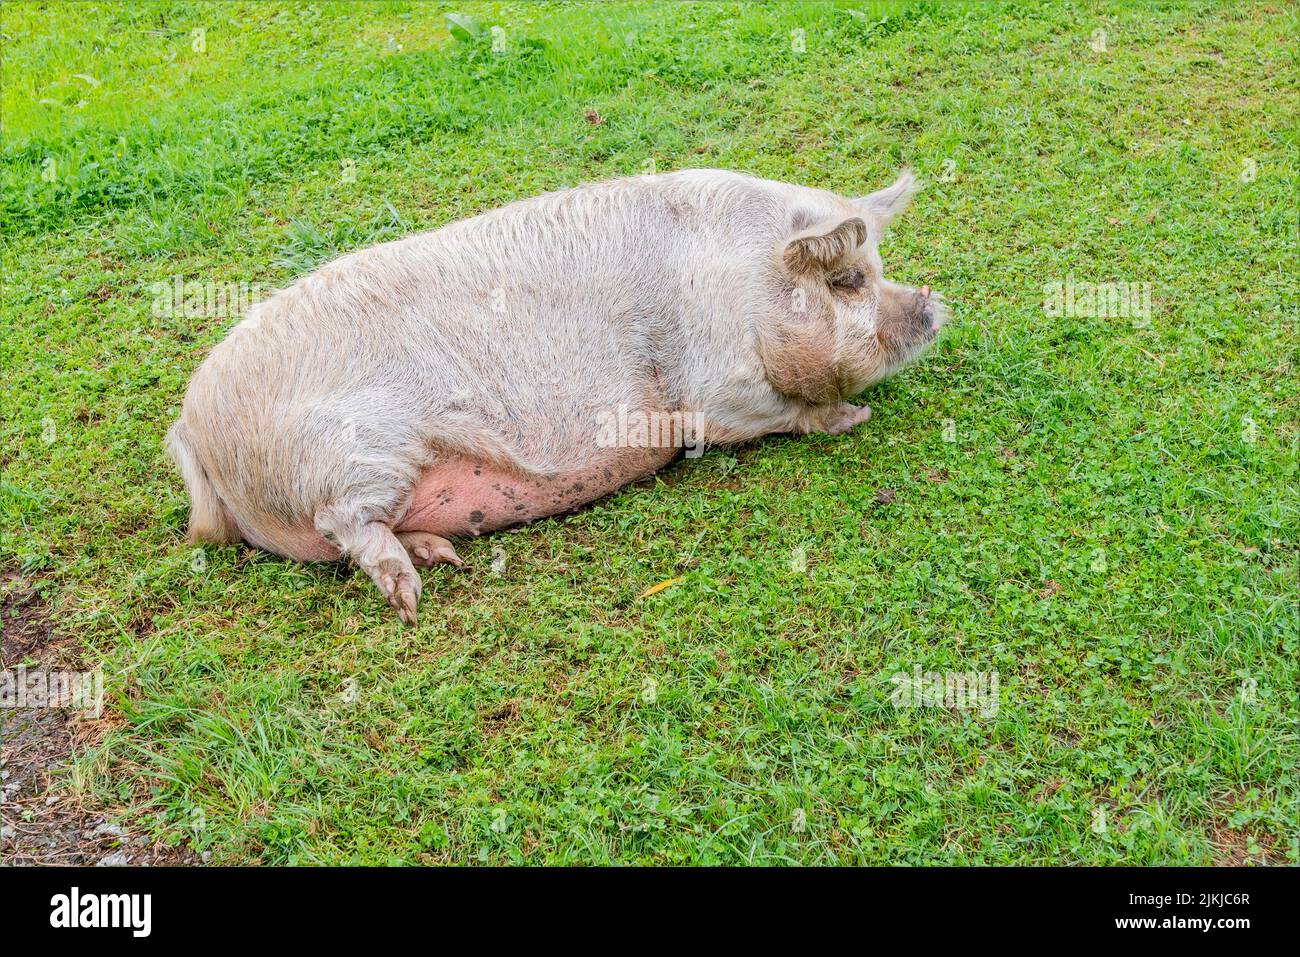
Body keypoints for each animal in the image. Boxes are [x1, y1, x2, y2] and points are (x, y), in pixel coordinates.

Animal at [167, 169, 947, 624]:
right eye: (848, 280)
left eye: (879, 268)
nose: (933, 305)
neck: (744, 281)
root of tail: (192, 426)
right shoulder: (713, 389)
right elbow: (775, 414)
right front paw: (853, 415)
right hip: (355, 451)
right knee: (343, 521)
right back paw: (411, 598)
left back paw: (442, 557)